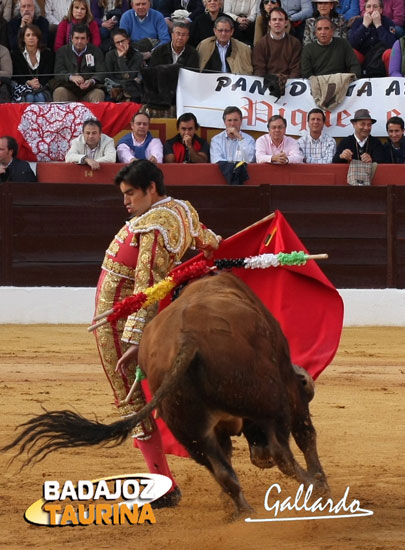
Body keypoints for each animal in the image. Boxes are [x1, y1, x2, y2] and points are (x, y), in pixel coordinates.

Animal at [3, 274, 328, 520]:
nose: (259, 457)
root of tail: (189, 340)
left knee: (224, 472)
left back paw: (243, 513)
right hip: (271, 401)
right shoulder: (289, 385)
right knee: (282, 452)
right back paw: (311, 490)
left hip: (190, 430)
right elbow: (305, 434)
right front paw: (322, 484)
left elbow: (226, 465)